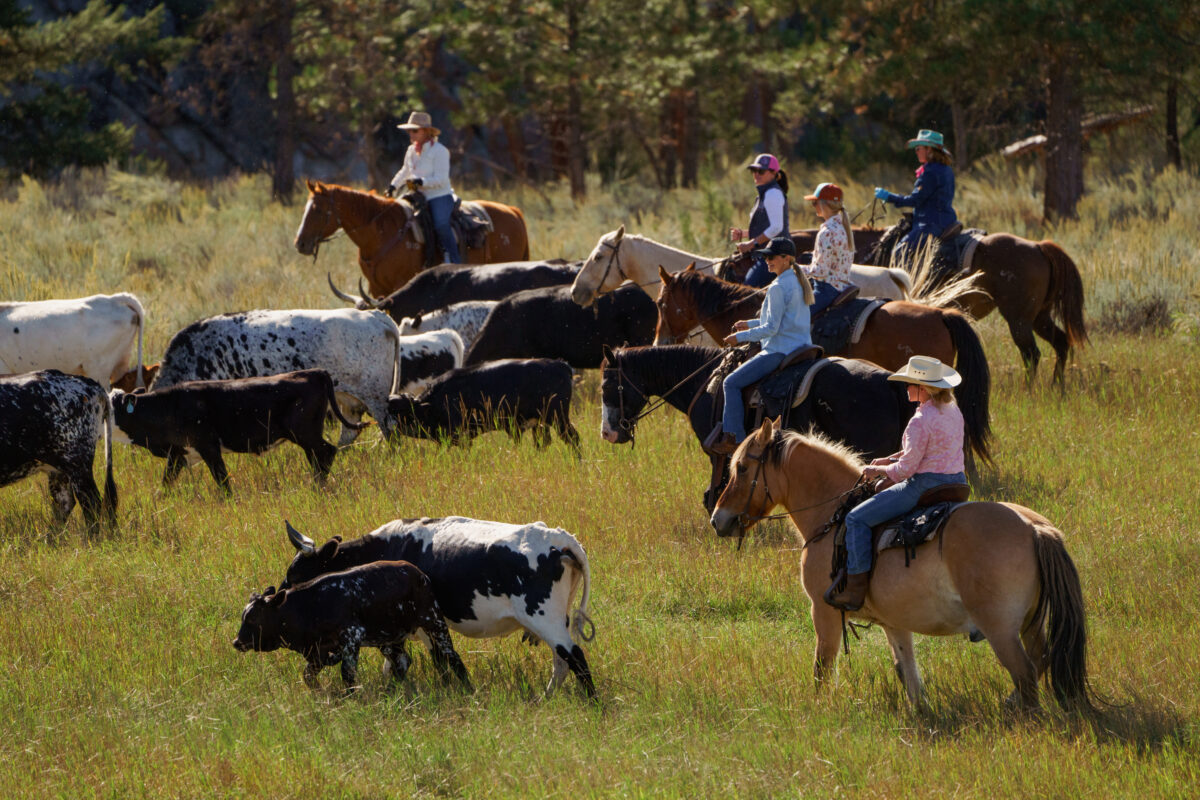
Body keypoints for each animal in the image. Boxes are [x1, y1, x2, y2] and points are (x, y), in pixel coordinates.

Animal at [110, 369, 369, 494]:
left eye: (107, 405)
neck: (168, 406)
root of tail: (315, 372)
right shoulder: (179, 454)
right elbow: (165, 483)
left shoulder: (209, 447)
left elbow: (223, 481)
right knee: (320, 456)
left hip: (304, 433)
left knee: (326, 452)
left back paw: (316, 488)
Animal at [234, 559, 473, 693]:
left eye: (253, 618)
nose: (237, 642)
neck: (309, 605)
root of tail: (419, 574)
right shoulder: (318, 652)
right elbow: (308, 676)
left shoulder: (351, 639)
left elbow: (347, 675)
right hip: (388, 639)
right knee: (402, 662)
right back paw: (391, 690)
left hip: (434, 622)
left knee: (453, 657)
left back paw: (468, 689)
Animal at [281, 516, 597, 698]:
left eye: (297, 576)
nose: (280, 598)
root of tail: (558, 538)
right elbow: (396, 664)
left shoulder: (424, 622)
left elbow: (437, 660)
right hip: (556, 620)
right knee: (561, 663)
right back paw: (545, 699)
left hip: (545, 618)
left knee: (576, 658)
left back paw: (593, 702)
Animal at [387, 359, 581, 456]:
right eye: (391, 409)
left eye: (403, 412)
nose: (391, 427)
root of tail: (560, 365)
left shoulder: (460, 435)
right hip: (542, 423)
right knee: (544, 442)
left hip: (558, 418)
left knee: (573, 438)